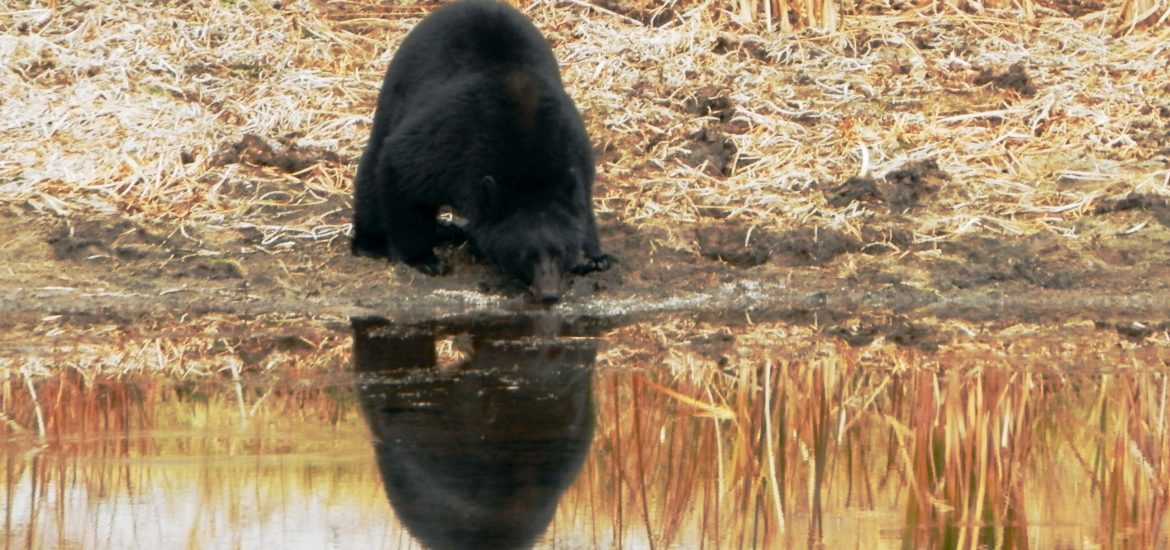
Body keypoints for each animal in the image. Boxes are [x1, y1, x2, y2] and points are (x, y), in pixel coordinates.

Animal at [351, 0, 612, 303]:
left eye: (560, 252)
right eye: (525, 256)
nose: (548, 294)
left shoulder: (574, 146)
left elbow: (582, 202)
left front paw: (593, 257)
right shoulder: (451, 144)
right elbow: (400, 168)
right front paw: (425, 259)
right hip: (396, 94)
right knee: (373, 169)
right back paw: (372, 243)